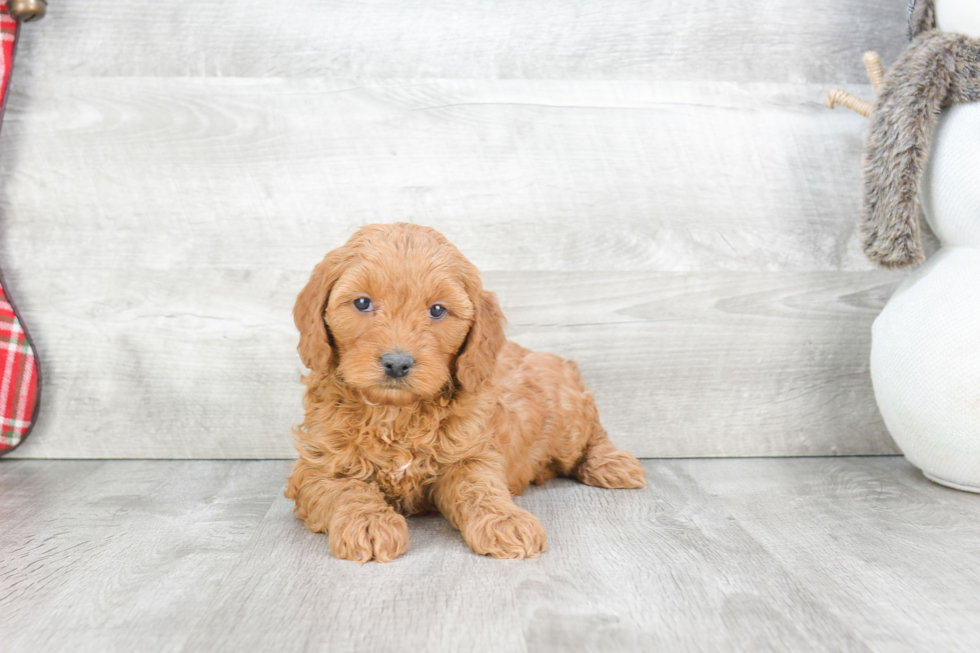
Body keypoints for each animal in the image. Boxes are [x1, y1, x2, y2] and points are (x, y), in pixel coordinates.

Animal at [288, 224, 648, 560]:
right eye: (362, 302)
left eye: (437, 310)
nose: (397, 363)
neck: (396, 412)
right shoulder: (317, 467)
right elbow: (346, 489)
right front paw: (368, 522)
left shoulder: (471, 453)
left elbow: (480, 487)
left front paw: (505, 521)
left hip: (568, 416)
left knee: (592, 434)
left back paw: (612, 463)